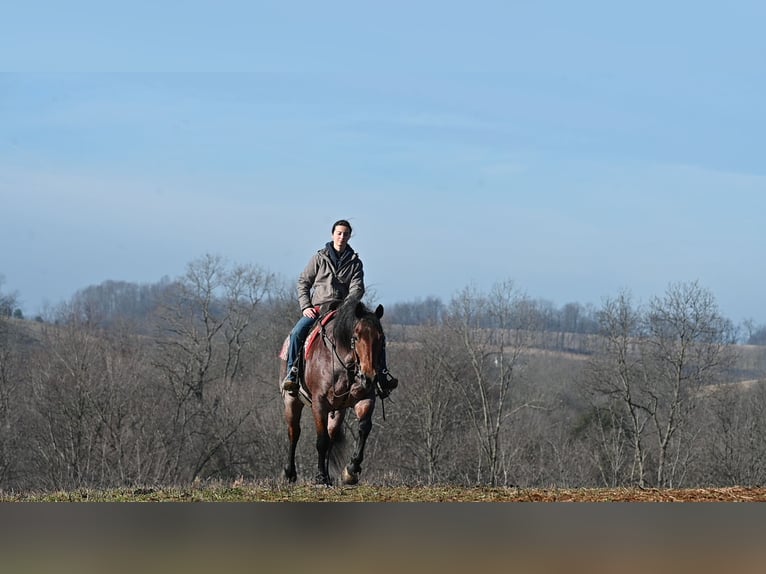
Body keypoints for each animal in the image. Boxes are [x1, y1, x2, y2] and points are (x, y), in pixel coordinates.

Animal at [280, 297, 386, 485]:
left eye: (381, 338)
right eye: (356, 337)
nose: (369, 377)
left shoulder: (365, 399)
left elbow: (364, 428)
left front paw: (351, 470)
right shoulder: (319, 404)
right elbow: (321, 441)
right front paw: (320, 477)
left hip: (337, 411)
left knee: (331, 436)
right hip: (292, 401)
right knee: (294, 432)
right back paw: (290, 473)